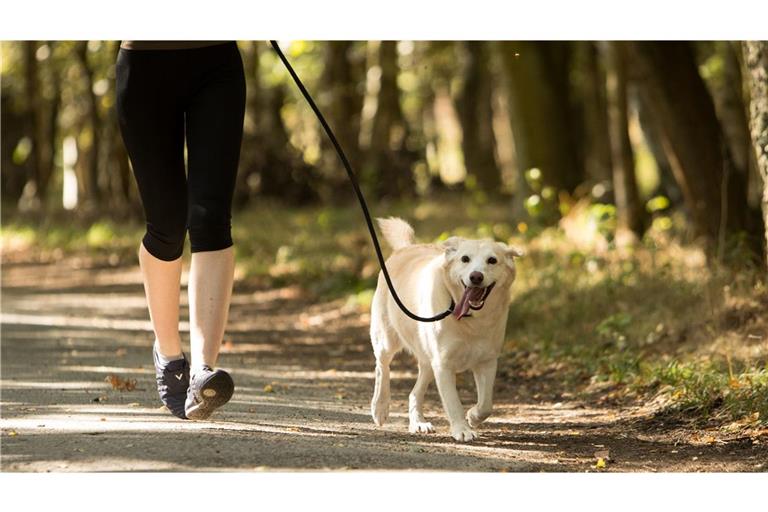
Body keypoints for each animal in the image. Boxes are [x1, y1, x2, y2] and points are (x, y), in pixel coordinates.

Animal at [368, 216, 520, 440]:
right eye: (465, 259)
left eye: (492, 260)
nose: (476, 277)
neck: (469, 318)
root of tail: (406, 248)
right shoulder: (443, 364)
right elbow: (453, 402)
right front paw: (462, 430)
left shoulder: (487, 361)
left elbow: (486, 404)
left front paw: (473, 416)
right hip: (386, 340)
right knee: (382, 368)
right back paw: (380, 407)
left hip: (427, 359)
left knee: (414, 392)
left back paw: (418, 423)